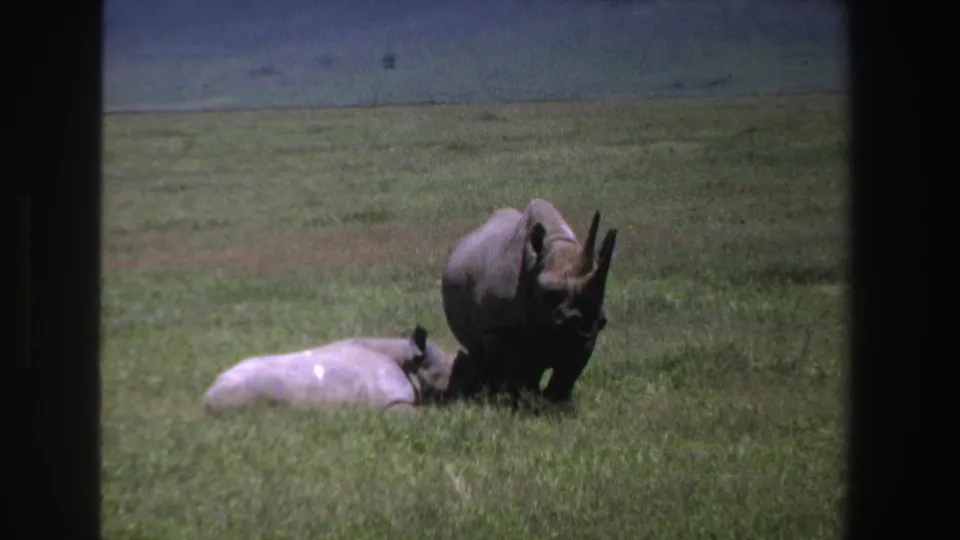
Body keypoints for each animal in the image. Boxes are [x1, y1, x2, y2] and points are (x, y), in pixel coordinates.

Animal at [441, 199, 618, 405]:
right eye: (550, 293)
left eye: (601, 294)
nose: (583, 320)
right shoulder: (498, 327)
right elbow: (511, 371)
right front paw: (517, 403)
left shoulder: (588, 335)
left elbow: (568, 372)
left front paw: (555, 404)